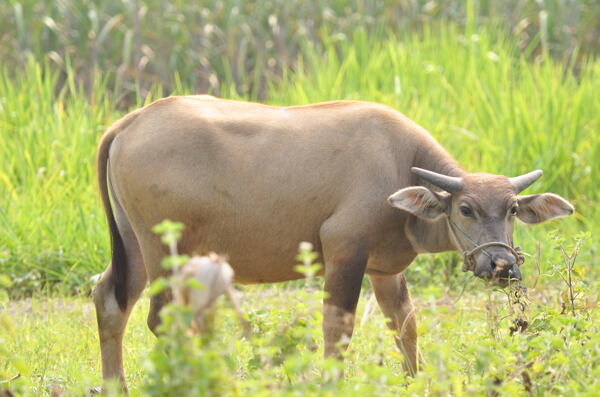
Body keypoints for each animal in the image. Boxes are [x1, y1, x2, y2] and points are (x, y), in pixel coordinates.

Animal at [91, 95, 576, 386]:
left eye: (511, 209)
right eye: (466, 209)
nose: (501, 266)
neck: (398, 167)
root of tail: (131, 122)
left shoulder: (384, 269)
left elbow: (405, 326)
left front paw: (414, 380)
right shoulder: (345, 252)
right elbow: (337, 329)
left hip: (134, 247)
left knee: (110, 299)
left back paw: (116, 386)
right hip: (165, 252)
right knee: (162, 319)